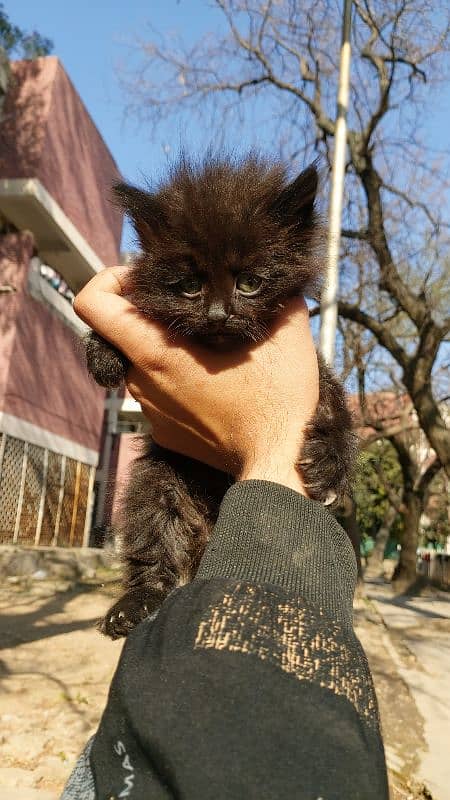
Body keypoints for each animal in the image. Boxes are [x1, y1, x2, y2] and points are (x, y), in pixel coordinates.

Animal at [86, 153, 356, 636]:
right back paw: (132, 606)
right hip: (155, 484)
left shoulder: (313, 365)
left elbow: (333, 395)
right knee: (154, 549)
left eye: (248, 283)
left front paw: (331, 460)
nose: (217, 314)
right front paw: (101, 351)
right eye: (189, 285)